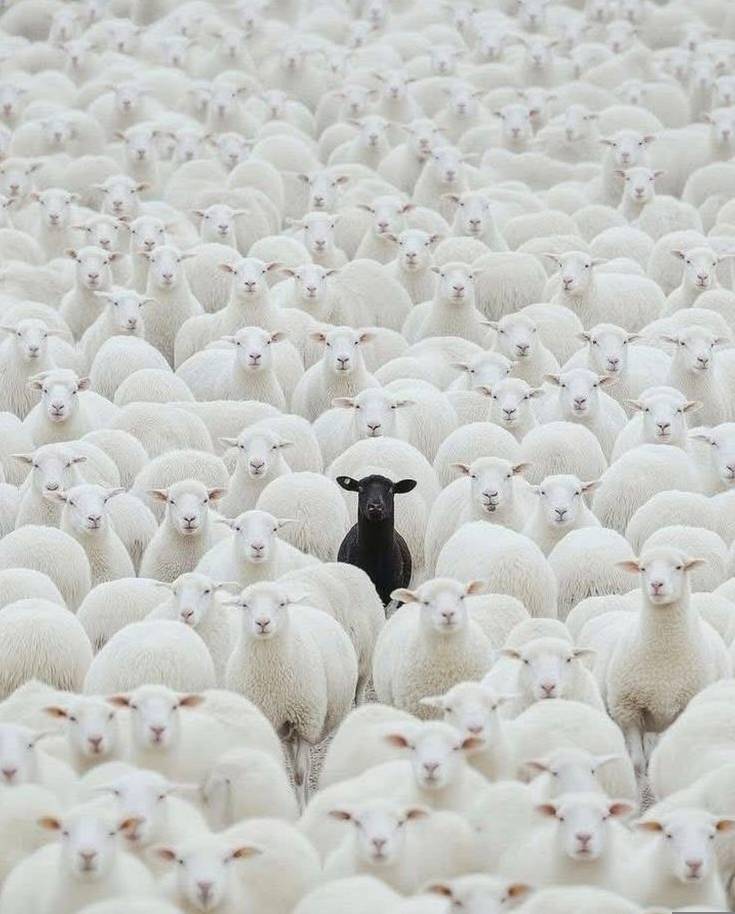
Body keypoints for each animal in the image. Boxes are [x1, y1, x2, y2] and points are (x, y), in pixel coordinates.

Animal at [224, 581, 358, 806]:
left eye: (281, 603)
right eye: (244, 605)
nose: (262, 622)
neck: (272, 683)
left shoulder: (305, 724)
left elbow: (300, 774)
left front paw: (302, 807)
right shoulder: (274, 723)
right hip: (286, 731)